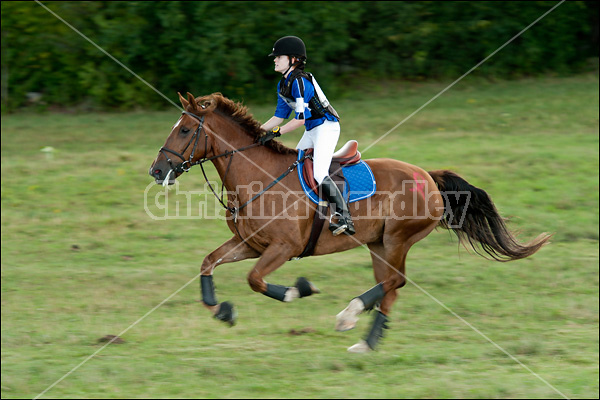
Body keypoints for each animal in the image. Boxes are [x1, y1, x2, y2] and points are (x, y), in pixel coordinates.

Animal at [149, 92, 548, 352]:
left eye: (184, 130)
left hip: (398, 238)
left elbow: (255, 279)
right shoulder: (250, 245)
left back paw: (353, 319)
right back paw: (365, 336)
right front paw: (221, 310)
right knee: (390, 286)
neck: (257, 177)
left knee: (394, 281)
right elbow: (208, 263)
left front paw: (299, 289)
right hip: (378, 243)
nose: (157, 170)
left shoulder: (283, 248)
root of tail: (429, 176)